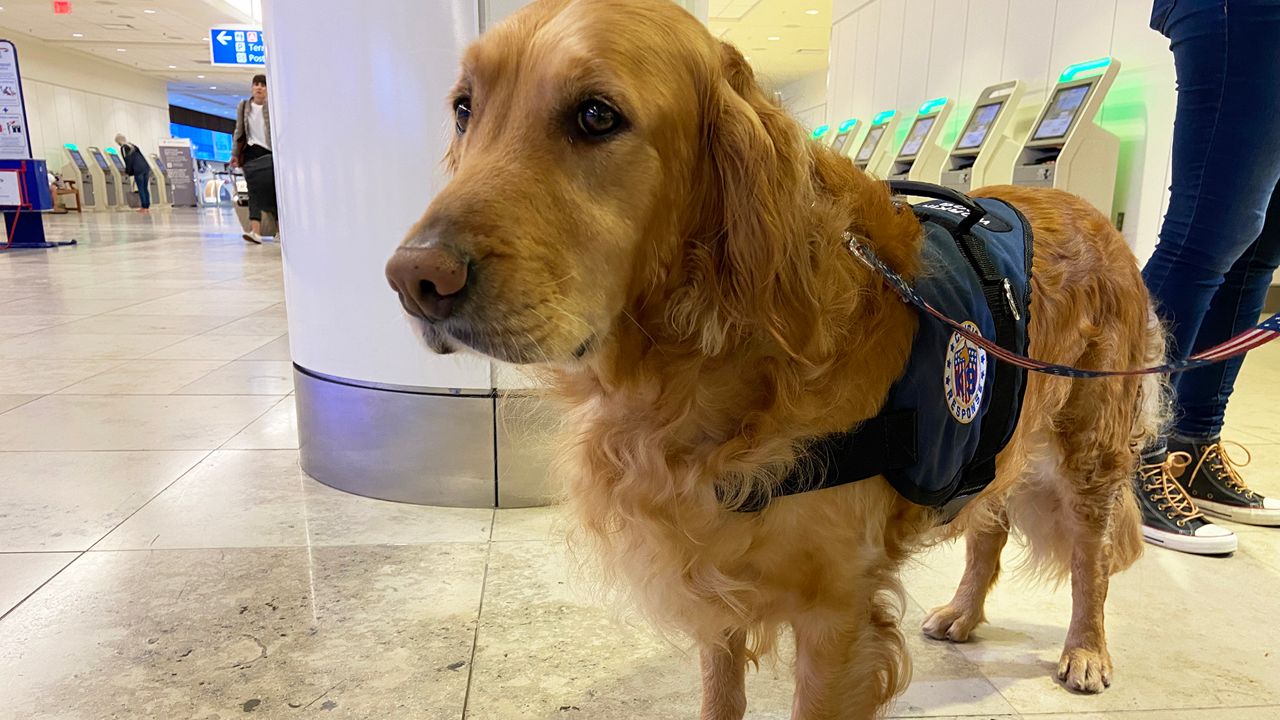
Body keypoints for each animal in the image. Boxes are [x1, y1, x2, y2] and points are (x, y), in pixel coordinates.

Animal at [381, 1, 1162, 712]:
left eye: (597, 116)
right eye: (464, 108)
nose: (413, 279)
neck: (702, 358)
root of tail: (1093, 212)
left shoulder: (836, 617)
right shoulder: (714, 569)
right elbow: (720, 690)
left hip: (1090, 449)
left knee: (1091, 559)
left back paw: (1086, 650)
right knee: (989, 524)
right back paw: (965, 612)